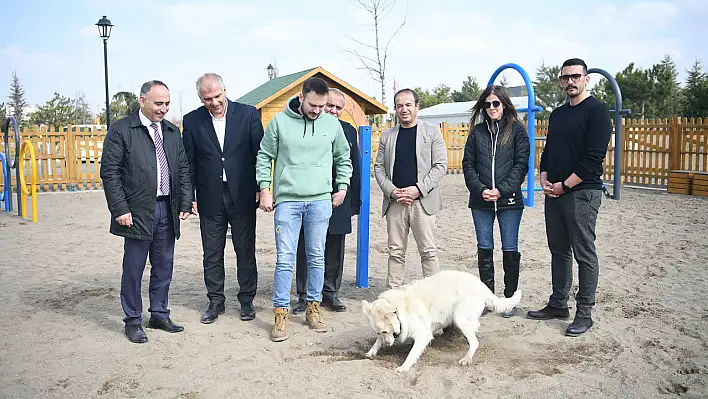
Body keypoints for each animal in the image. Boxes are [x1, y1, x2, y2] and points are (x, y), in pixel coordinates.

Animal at [360, 270, 520, 374]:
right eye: (378, 332)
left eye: (385, 331)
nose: (388, 345)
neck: (399, 309)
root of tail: (483, 286)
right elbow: (377, 342)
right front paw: (371, 351)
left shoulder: (423, 334)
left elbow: (412, 354)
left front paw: (404, 367)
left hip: (459, 317)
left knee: (475, 341)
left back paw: (466, 359)